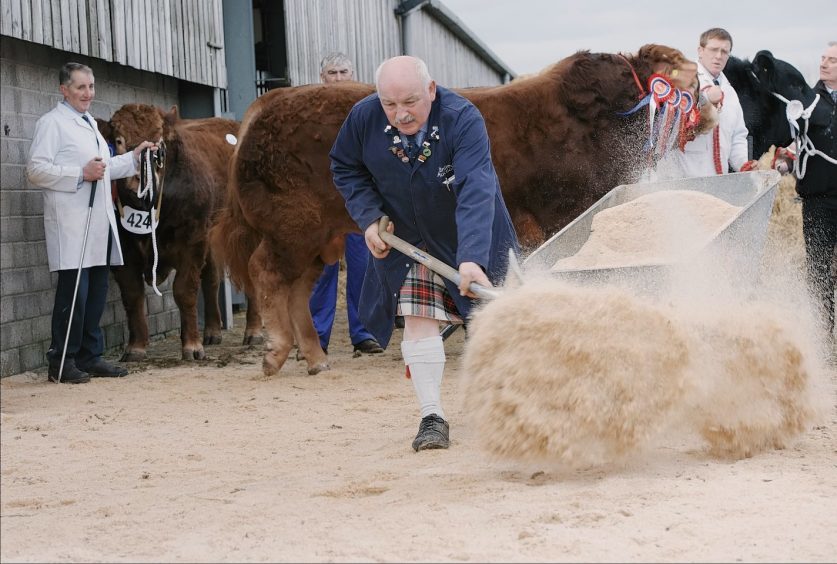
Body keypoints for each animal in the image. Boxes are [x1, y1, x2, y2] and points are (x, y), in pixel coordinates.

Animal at [106, 104, 260, 362]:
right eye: (118, 140)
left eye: (159, 145)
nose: (139, 180)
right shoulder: (124, 249)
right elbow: (133, 294)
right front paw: (136, 347)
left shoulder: (192, 240)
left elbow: (184, 290)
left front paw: (191, 346)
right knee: (211, 279)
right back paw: (212, 332)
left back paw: (254, 332)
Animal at [212, 44, 708, 376]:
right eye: (680, 70)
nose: (712, 95)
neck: (590, 118)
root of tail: (266, 105)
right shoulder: (563, 211)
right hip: (291, 230)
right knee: (268, 275)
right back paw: (276, 351)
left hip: (316, 240)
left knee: (297, 288)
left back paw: (314, 357)